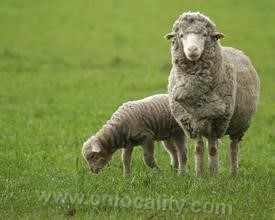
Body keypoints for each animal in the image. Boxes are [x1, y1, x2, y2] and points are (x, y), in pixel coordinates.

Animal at [166, 12, 260, 177]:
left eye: (205, 34)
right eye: (181, 35)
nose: (192, 49)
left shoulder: (217, 122)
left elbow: (213, 150)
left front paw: (214, 176)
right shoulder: (193, 122)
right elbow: (199, 149)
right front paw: (199, 175)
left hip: (239, 126)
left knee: (233, 148)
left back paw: (233, 173)